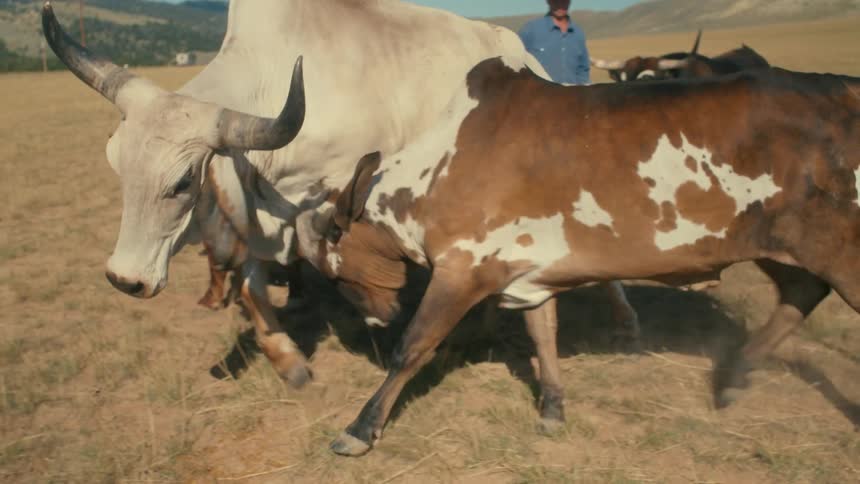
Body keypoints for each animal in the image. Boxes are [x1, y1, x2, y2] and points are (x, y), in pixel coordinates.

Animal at [40, 0, 641, 388]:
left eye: (184, 180)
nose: (125, 278)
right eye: (114, 160)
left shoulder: (341, 191)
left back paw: (621, 316)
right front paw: (288, 360)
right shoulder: (257, 213)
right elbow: (253, 284)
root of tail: (522, 54)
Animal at [291, 56, 860, 456]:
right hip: (787, 244)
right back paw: (733, 376)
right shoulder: (527, 273)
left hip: (837, 251)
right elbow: (543, 338)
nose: (375, 315)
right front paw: (553, 409)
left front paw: (360, 427)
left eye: (330, 259)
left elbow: (412, 348)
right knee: (801, 292)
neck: (435, 169)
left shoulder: (462, 269)